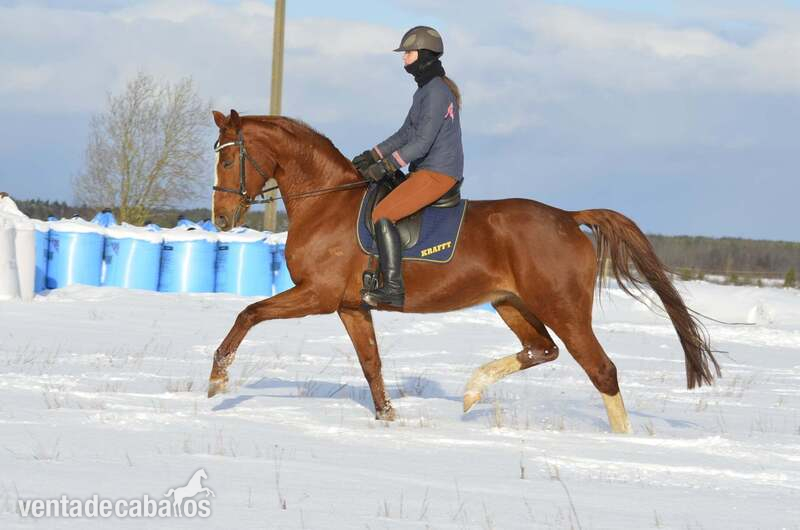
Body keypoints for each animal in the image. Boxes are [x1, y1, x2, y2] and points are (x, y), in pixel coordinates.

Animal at [207, 109, 719, 433]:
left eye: (229, 158)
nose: (222, 219)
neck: (326, 203)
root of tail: (568, 217)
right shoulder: (351, 307)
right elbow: (371, 364)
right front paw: (388, 419)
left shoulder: (317, 295)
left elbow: (248, 314)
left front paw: (217, 381)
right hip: (512, 303)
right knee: (542, 349)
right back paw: (473, 391)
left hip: (563, 308)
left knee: (601, 370)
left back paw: (621, 441)